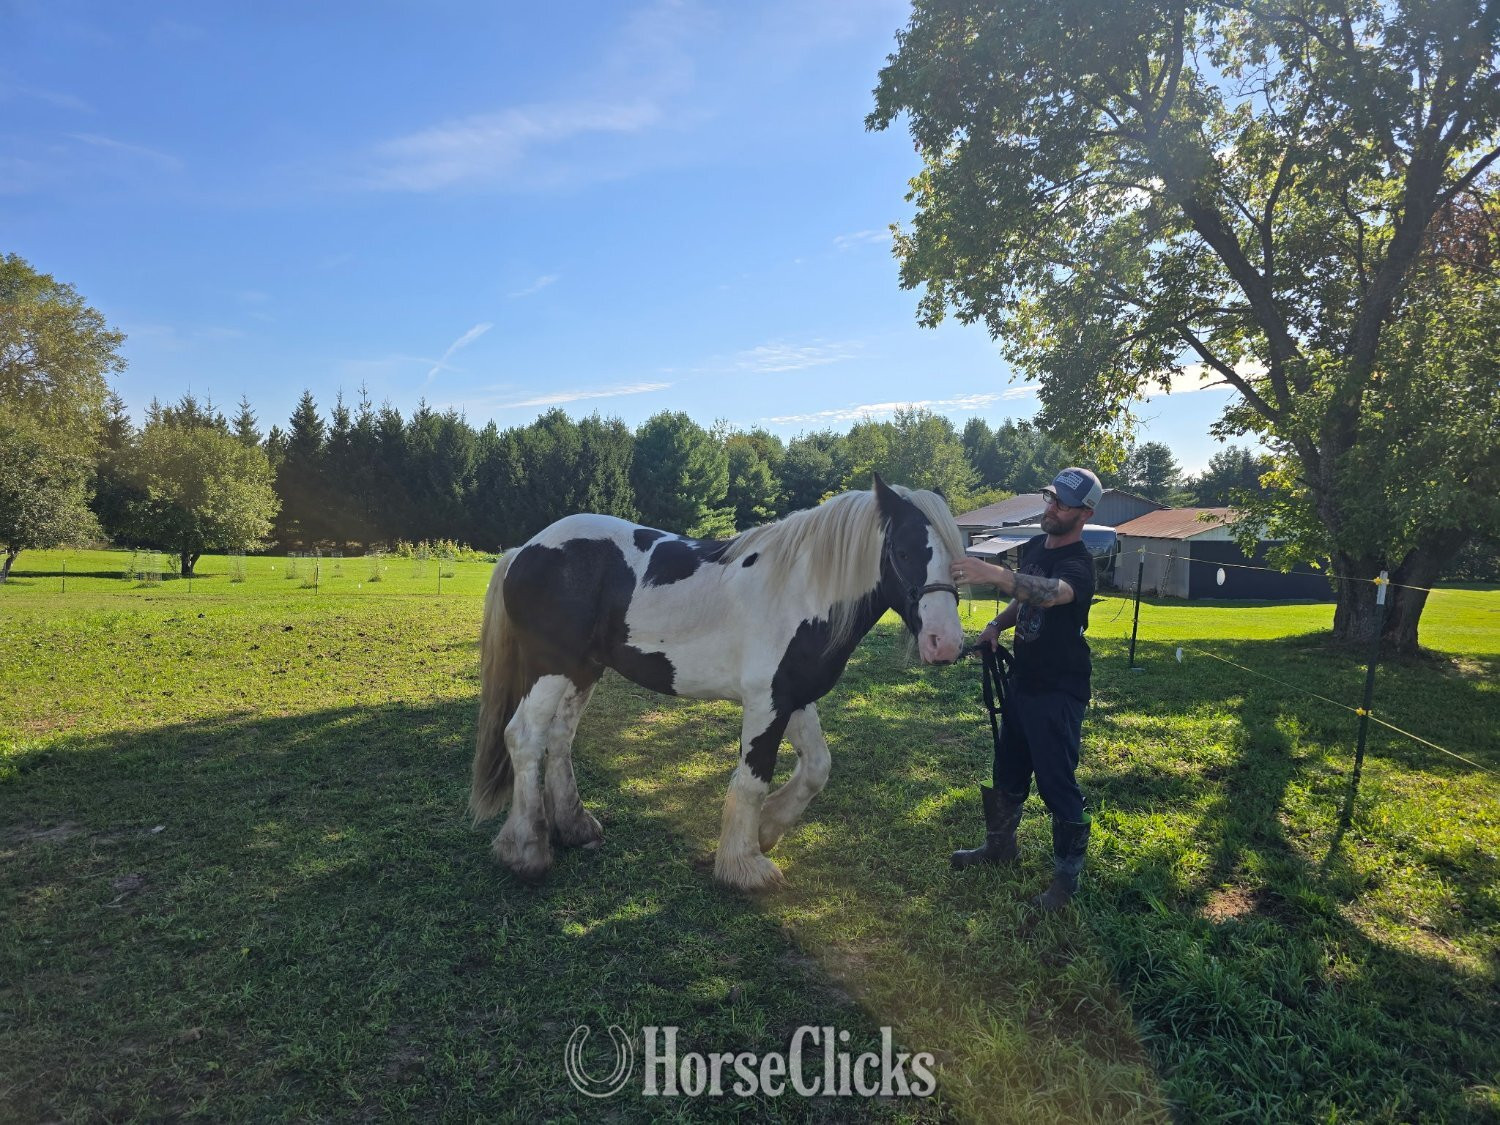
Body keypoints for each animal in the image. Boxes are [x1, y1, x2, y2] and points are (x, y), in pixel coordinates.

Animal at [469, 474, 966, 891]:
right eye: (903, 551)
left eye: (958, 561)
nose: (945, 643)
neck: (801, 592)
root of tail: (525, 549)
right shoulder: (765, 703)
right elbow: (751, 780)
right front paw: (744, 865)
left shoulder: (793, 698)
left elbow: (816, 768)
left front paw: (766, 831)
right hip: (549, 668)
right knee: (524, 737)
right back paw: (526, 851)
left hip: (582, 670)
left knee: (559, 738)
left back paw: (574, 827)